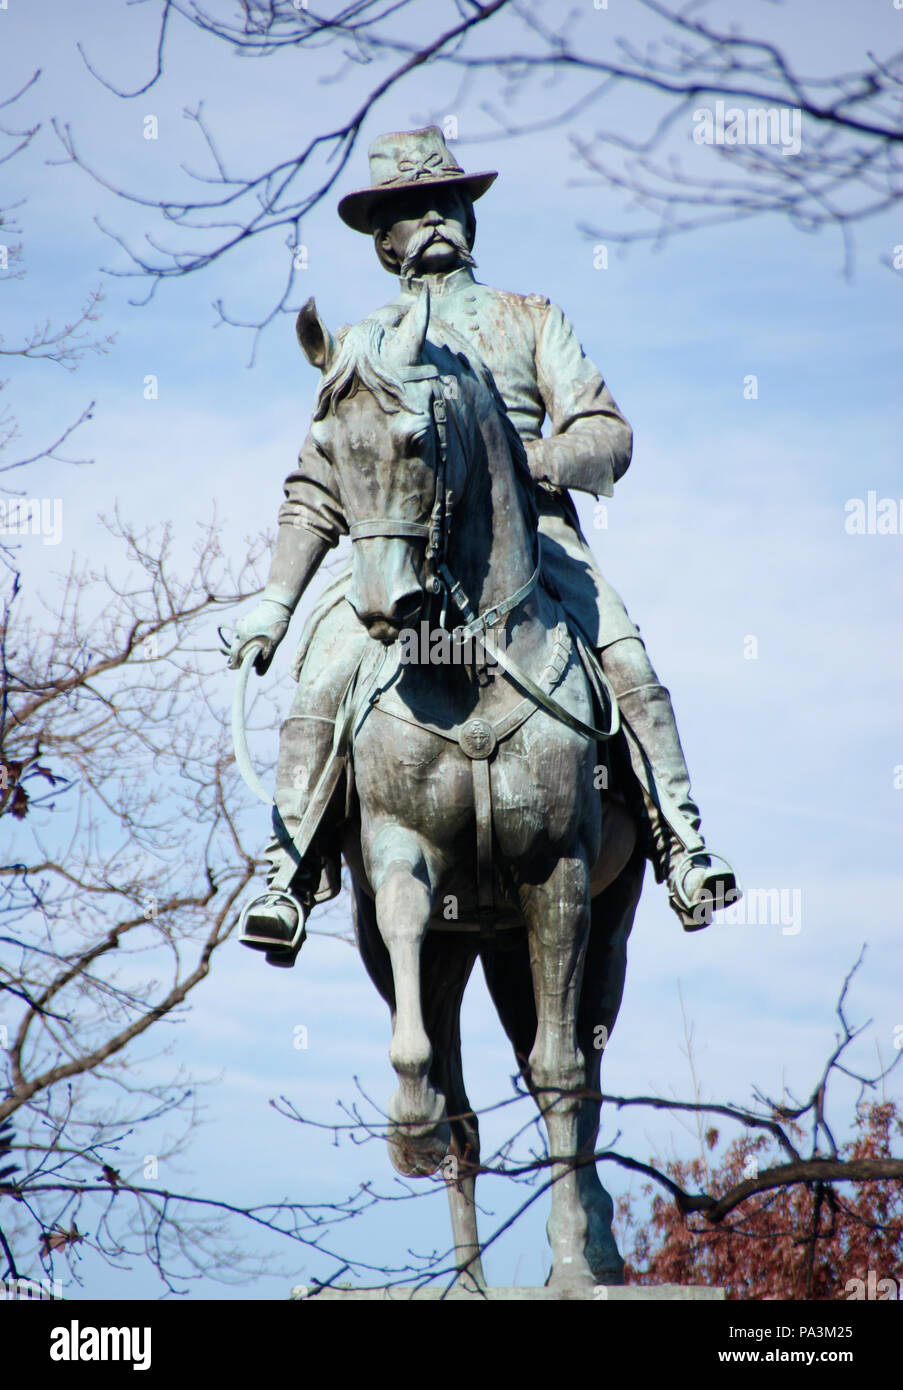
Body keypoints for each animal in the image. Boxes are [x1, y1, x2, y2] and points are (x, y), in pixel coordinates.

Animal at [293, 287, 639, 1295]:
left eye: (417, 442)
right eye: (326, 447)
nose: (385, 607)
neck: (466, 664)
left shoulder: (558, 879)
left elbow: (560, 1075)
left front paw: (569, 1257)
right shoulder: (397, 865)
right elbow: (434, 1066)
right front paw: (408, 1123)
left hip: (593, 932)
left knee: (580, 1070)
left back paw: (594, 1246)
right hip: (469, 949)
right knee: (469, 1108)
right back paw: (468, 1275)